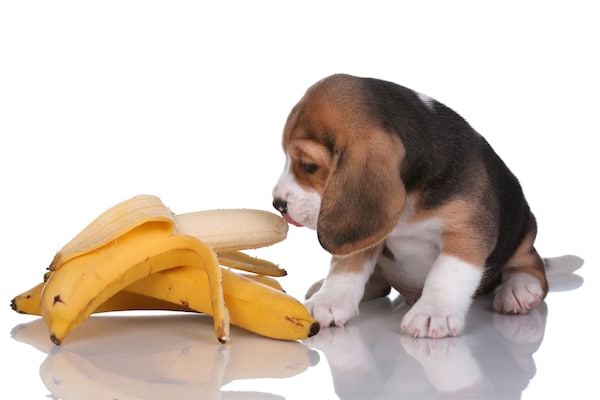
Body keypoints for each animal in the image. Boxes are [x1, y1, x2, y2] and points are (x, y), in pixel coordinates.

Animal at [272, 74, 548, 338]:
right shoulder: (365, 233)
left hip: (525, 230)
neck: (410, 196)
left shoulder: (467, 231)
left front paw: (433, 312)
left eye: (309, 166)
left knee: (531, 268)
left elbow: (446, 273)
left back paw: (518, 290)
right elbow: (346, 267)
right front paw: (329, 300)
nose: (277, 204)